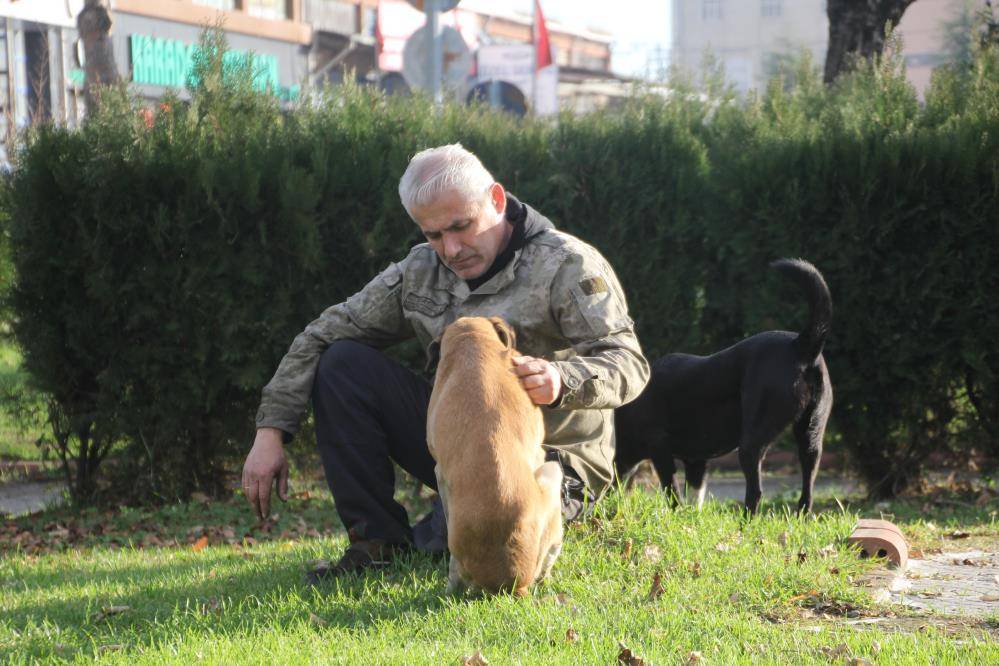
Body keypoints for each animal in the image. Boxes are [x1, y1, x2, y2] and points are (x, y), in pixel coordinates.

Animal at [612, 260, 832, 512]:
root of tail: (800, 345)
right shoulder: (696, 460)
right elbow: (694, 496)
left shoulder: (660, 448)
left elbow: (672, 492)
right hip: (811, 436)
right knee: (807, 492)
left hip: (751, 442)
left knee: (756, 492)